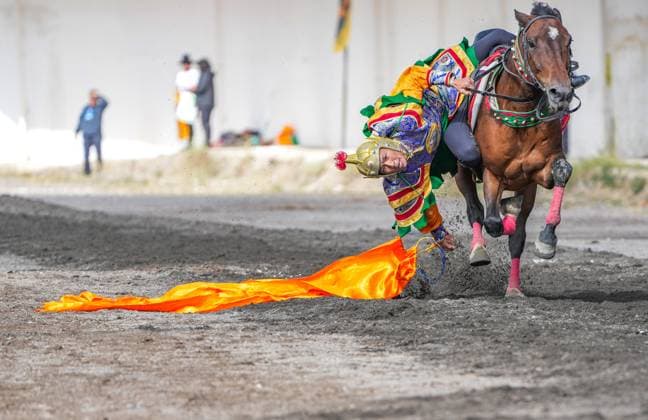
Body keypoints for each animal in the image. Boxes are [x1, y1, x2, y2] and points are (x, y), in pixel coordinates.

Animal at [456, 6, 579, 297]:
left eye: (568, 42)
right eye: (532, 42)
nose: (561, 92)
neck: (520, 113)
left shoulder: (540, 171)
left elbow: (562, 172)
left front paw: (546, 241)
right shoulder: (492, 172)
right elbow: (491, 220)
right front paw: (502, 216)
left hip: (526, 184)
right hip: (462, 170)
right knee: (476, 210)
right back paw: (479, 250)